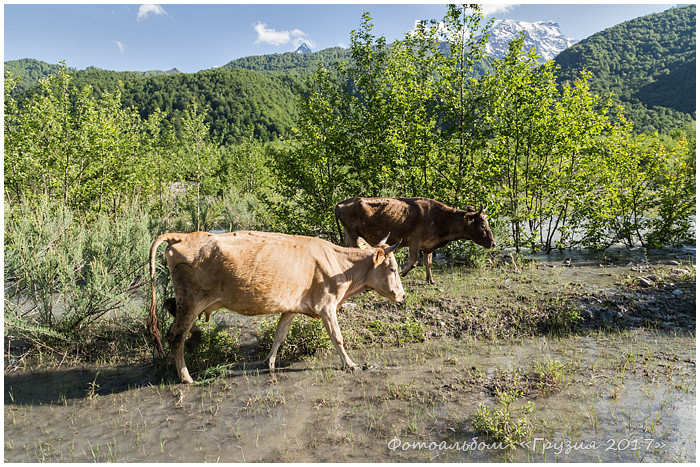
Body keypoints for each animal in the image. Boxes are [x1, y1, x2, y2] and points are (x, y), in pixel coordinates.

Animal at [146, 229, 404, 384]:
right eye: (392, 268)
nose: (402, 295)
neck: (340, 265)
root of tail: (183, 236)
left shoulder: (291, 307)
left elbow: (279, 335)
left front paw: (269, 363)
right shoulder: (326, 305)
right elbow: (337, 337)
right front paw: (350, 364)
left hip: (187, 301)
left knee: (172, 313)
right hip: (191, 301)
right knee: (175, 336)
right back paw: (186, 376)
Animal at [334, 197, 494, 286]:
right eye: (482, 225)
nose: (493, 243)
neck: (440, 218)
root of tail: (341, 203)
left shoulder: (427, 245)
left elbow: (428, 262)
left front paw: (430, 280)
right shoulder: (414, 241)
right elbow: (414, 261)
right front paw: (401, 274)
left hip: (349, 235)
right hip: (353, 235)